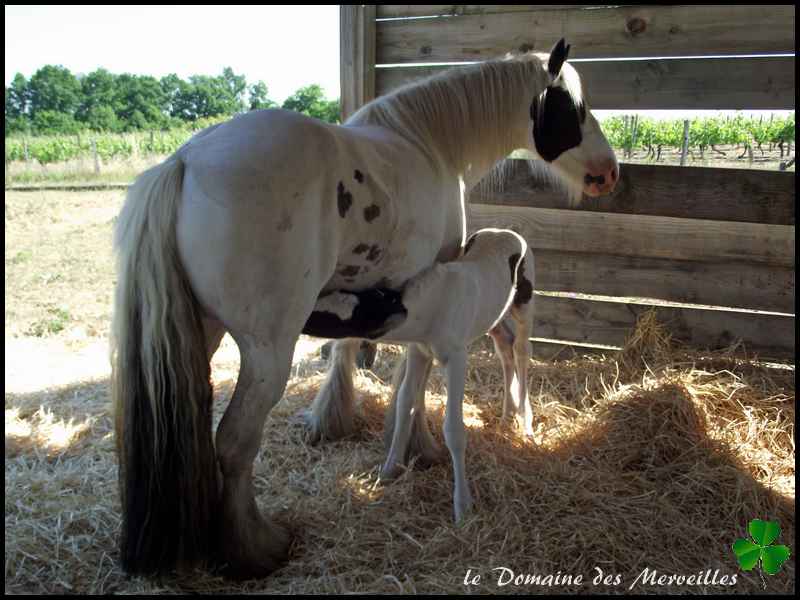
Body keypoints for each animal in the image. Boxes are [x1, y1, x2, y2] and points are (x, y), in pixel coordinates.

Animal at [310, 230, 536, 520]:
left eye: (337, 318)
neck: (431, 305)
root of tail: (509, 232)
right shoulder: (420, 351)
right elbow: (405, 402)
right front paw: (389, 470)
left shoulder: (457, 358)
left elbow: (453, 428)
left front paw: (463, 506)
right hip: (494, 317)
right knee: (504, 347)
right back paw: (507, 417)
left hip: (524, 304)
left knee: (521, 350)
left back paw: (525, 423)